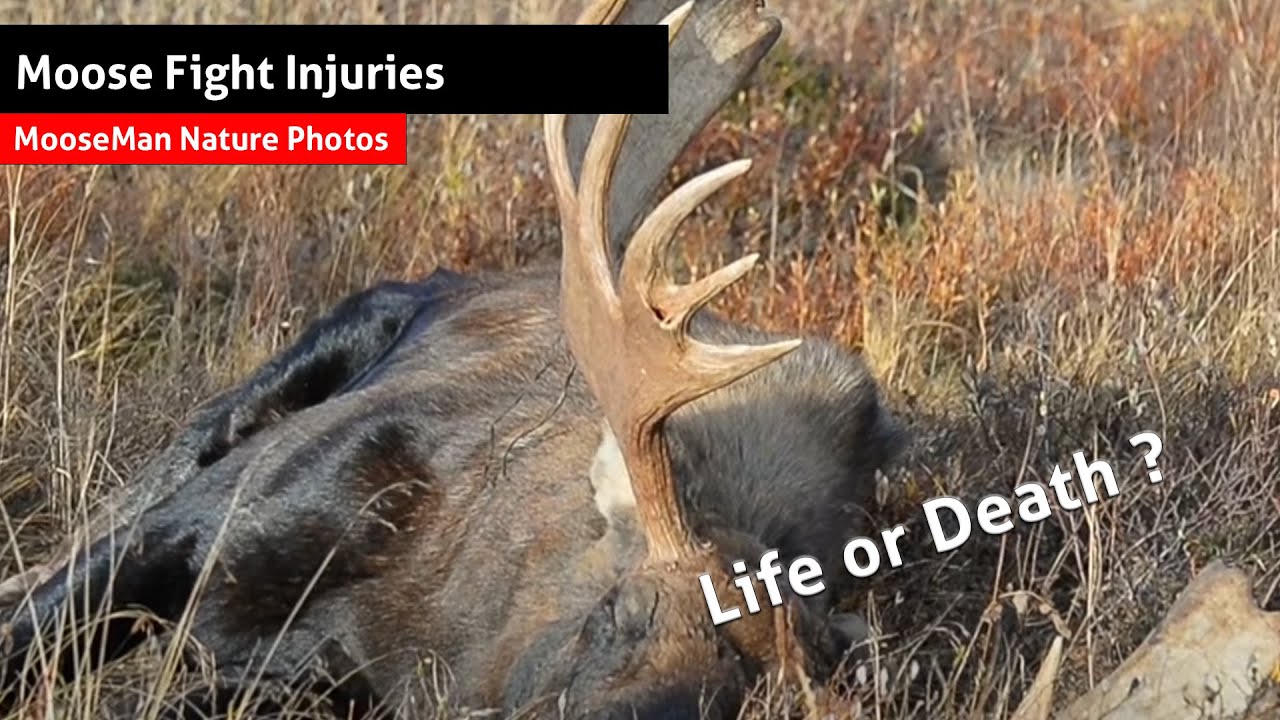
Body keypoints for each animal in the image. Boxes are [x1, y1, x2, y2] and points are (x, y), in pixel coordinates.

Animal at [5, 1, 1280, 719]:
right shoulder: (210, 525)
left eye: (723, 711)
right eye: (612, 615)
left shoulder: (309, 682)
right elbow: (39, 618)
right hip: (309, 364)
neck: (411, 622)